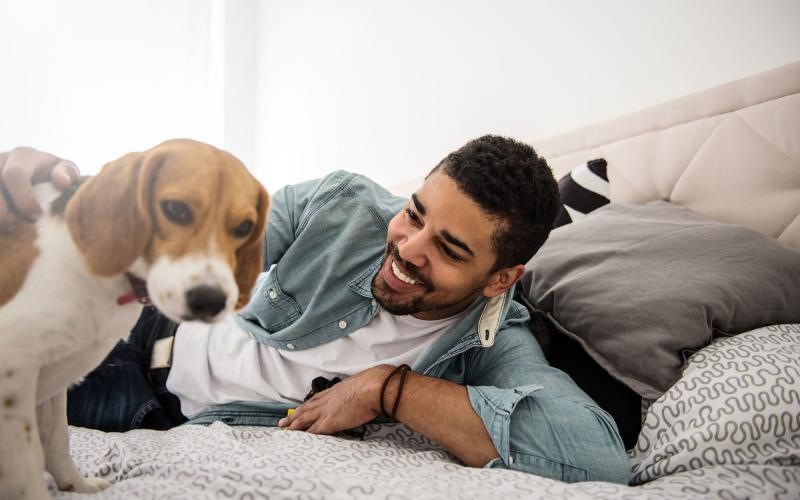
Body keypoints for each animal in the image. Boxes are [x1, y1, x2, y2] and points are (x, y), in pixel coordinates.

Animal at [0, 139, 268, 498]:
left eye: (244, 227)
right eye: (175, 209)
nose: (210, 301)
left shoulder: (53, 377)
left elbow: (57, 440)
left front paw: (76, 485)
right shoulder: (14, 378)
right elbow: (27, 470)